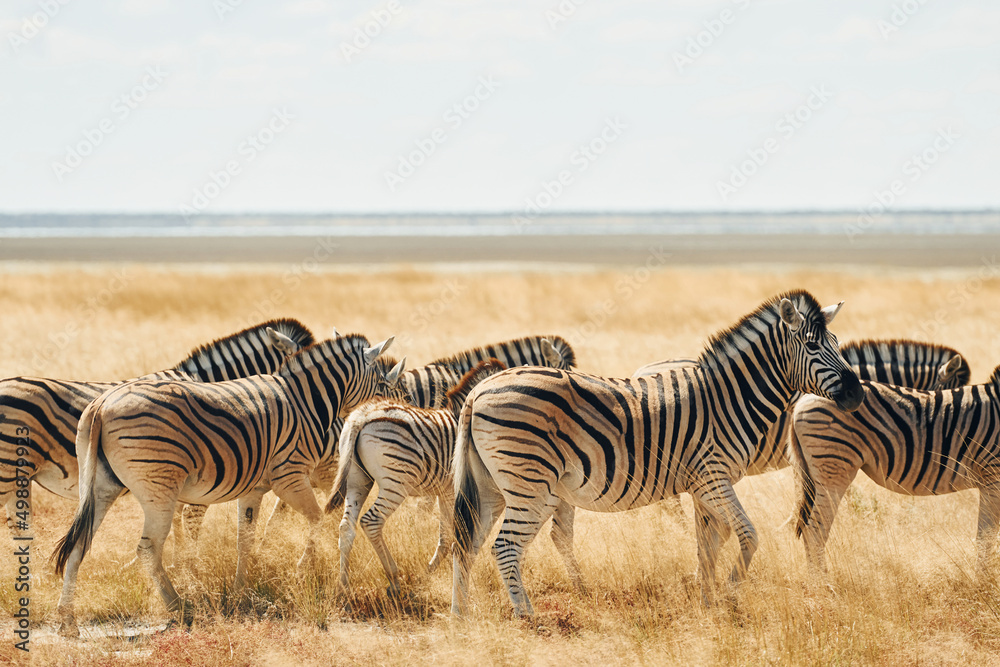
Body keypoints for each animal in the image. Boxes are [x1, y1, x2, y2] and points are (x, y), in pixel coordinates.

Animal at [51, 332, 402, 637]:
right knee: (148, 549)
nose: (388, 413)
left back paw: (68, 620)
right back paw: (180, 608)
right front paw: (302, 571)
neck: (306, 403)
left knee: (80, 543)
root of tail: (101, 405)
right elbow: (317, 521)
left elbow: (244, 540)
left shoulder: (253, 489)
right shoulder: (288, 476)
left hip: (100, 486)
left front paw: (239, 592)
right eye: (382, 382)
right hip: (159, 490)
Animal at [335, 359, 516, 600]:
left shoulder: (443, 491)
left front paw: (427, 574)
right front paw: (429, 575)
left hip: (357, 480)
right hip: (395, 484)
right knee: (371, 521)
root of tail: (362, 416)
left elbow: (446, 538)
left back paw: (344, 585)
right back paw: (394, 580)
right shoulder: (453, 491)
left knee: (346, 526)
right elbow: (451, 536)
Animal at [450, 291, 865, 617]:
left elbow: (707, 545)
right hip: (530, 485)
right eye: (813, 346)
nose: (858, 394)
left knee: (465, 543)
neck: (729, 399)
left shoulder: (701, 485)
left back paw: (462, 615)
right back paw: (526, 617)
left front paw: (708, 603)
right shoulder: (713, 476)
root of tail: (479, 391)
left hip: (491, 487)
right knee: (505, 547)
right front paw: (731, 596)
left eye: (836, 341)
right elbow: (747, 534)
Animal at [790, 363, 1000, 577]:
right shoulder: (993, 476)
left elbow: (985, 535)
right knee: (815, 531)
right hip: (834, 468)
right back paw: (823, 583)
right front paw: (983, 581)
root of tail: (803, 400)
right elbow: (987, 537)